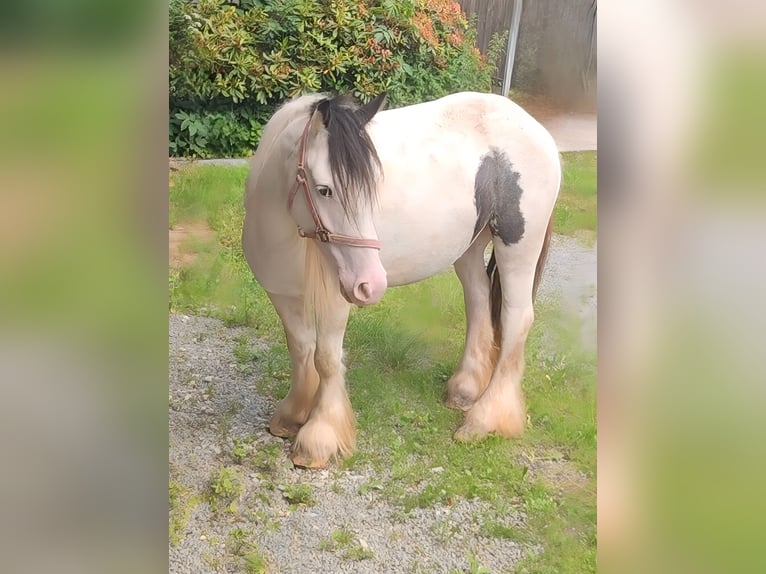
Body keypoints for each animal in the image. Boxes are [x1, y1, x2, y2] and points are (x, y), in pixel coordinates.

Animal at [242, 91, 560, 468]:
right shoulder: (284, 295)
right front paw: (292, 416)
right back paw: (464, 390)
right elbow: (301, 349)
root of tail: (537, 130)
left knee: (515, 319)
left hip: (518, 245)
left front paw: (318, 438)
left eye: (371, 189)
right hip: (469, 247)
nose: (372, 283)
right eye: (324, 190)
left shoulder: (336, 299)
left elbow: (326, 359)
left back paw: (484, 420)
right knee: (479, 302)